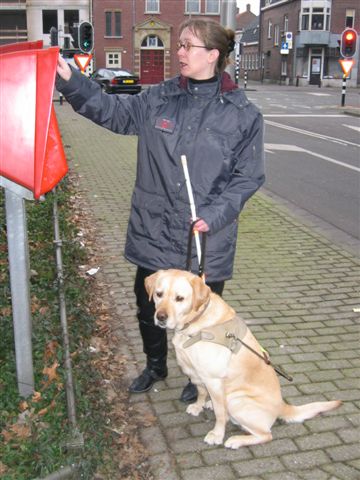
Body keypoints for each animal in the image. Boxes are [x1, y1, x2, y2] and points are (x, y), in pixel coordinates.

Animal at [145, 268, 342, 448]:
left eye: (180, 298)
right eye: (159, 294)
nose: (160, 317)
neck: (196, 323)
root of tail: (282, 405)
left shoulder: (213, 379)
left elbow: (220, 415)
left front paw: (217, 435)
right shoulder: (197, 373)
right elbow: (200, 392)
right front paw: (198, 406)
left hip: (237, 400)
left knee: (265, 434)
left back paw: (236, 440)